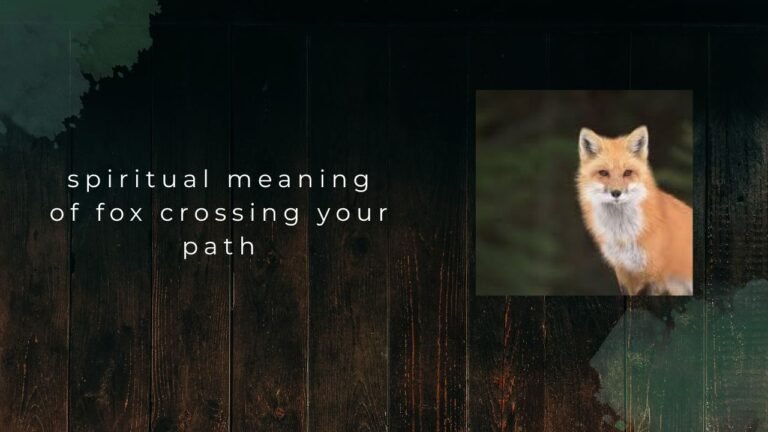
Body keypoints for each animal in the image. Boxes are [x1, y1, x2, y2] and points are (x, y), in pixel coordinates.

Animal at [576, 125, 693, 296]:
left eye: (627, 173)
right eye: (604, 173)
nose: (616, 193)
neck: (623, 236)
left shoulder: (656, 275)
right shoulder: (623, 271)